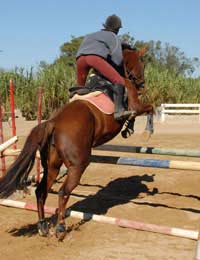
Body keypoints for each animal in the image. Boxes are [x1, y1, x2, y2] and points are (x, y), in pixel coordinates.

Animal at [0, 47, 153, 240]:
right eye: (142, 62)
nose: (142, 84)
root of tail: (53, 122)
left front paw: (129, 129)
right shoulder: (135, 105)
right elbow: (149, 108)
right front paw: (145, 131)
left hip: (52, 166)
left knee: (41, 191)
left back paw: (43, 226)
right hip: (78, 165)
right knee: (63, 192)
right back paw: (60, 228)